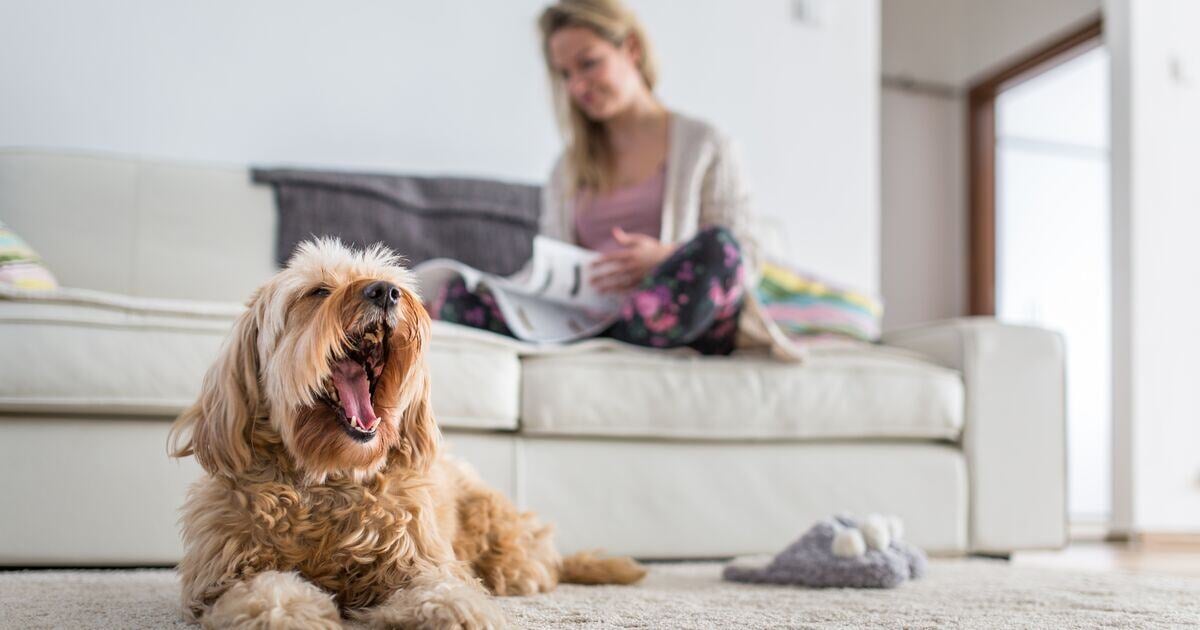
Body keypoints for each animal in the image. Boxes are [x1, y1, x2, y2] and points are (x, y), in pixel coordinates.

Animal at [166, 238, 648, 624]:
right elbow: (267, 590)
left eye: (391, 283)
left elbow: (442, 588)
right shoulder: (224, 575)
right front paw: (291, 615)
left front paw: (455, 612)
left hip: (508, 551)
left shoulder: (419, 560)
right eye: (318, 291)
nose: (384, 291)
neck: (330, 476)